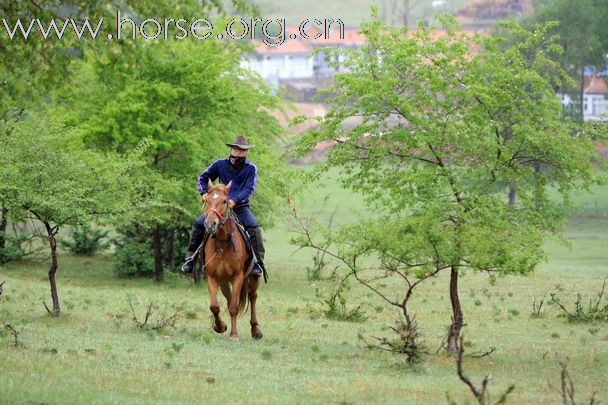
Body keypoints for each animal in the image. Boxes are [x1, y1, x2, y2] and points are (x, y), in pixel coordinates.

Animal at [203, 180, 262, 340]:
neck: (223, 244)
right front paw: (220, 326)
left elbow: (234, 307)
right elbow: (215, 306)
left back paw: (256, 330)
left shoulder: (238, 277)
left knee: (252, 297)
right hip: (224, 281)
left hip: (253, 278)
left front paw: (234, 335)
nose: (210, 224)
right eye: (207, 200)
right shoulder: (212, 277)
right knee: (229, 299)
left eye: (224, 201)